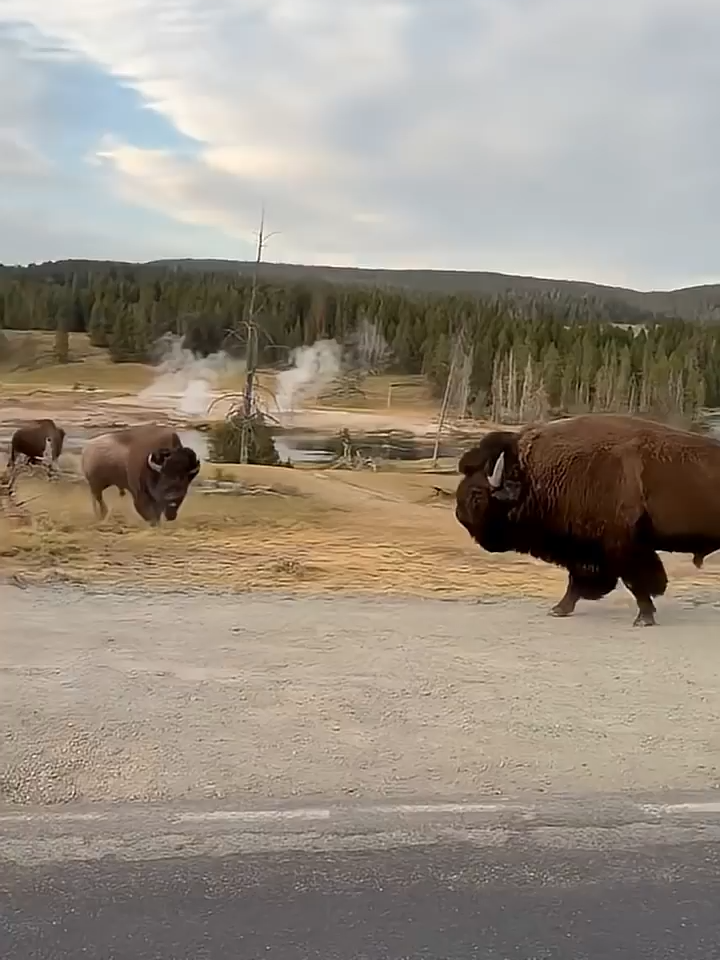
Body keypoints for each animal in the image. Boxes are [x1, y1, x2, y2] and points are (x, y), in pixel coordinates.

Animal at [455, 413, 720, 626]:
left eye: (477, 493)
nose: (459, 515)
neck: (533, 475)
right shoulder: (587, 550)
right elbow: (578, 582)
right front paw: (559, 609)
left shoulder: (623, 547)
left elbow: (636, 582)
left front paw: (644, 618)